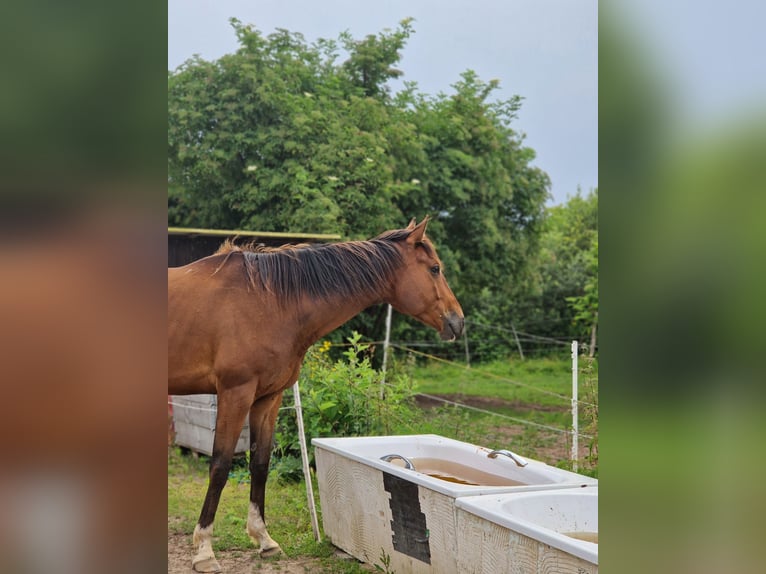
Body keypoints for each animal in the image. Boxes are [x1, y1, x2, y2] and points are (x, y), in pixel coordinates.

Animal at [169, 217, 464, 572]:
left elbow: (261, 462)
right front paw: (204, 550)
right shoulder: (235, 393)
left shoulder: (268, 398)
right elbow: (220, 466)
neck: (266, 301)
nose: (458, 321)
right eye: (435, 268)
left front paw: (264, 539)